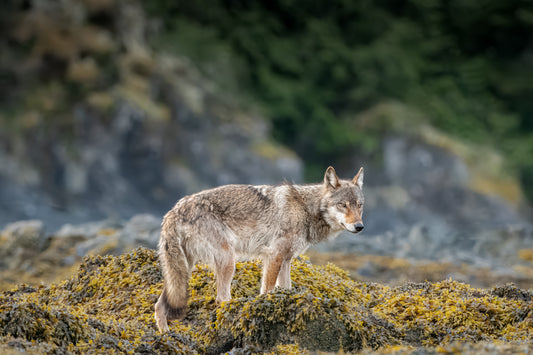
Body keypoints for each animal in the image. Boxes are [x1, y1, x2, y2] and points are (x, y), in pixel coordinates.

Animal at [152, 165, 364, 332]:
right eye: (343, 205)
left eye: (359, 205)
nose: (360, 227)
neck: (305, 208)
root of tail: (173, 211)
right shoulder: (274, 255)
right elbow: (266, 291)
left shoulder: (286, 260)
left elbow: (286, 289)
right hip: (228, 261)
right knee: (221, 299)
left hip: (183, 270)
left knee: (159, 305)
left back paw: (167, 337)